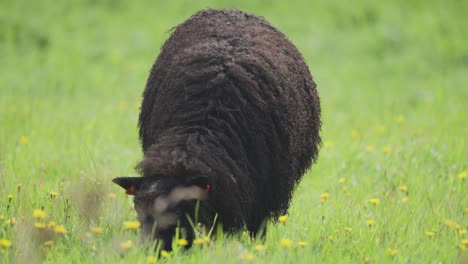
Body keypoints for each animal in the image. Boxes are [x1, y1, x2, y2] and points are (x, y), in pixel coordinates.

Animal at [113, 8, 320, 251]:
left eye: (181, 210)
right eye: (138, 209)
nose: (154, 251)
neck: (197, 131)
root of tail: (234, 11)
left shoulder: (263, 193)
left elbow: (256, 229)